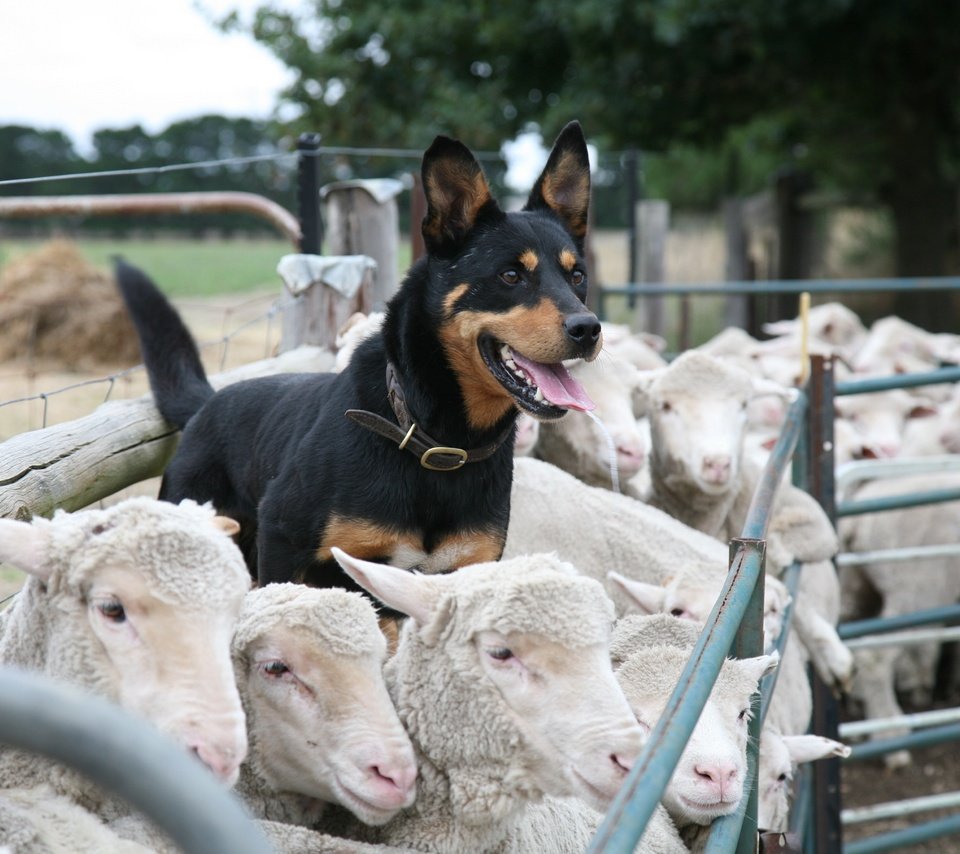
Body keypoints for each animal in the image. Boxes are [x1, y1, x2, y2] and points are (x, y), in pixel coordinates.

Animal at [116, 120, 600, 600]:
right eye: (511, 275)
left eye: (578, 276)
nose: (588, 329)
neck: (437, 440)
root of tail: (207, 405)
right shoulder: (283, 542)